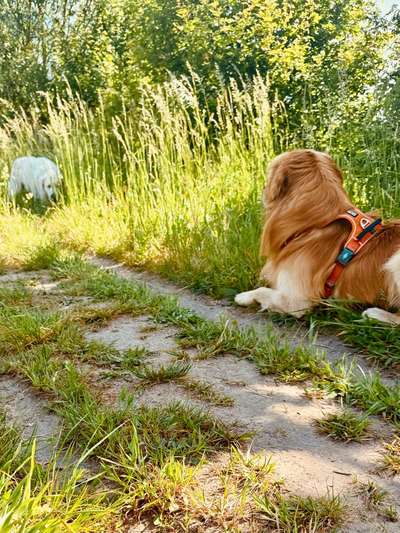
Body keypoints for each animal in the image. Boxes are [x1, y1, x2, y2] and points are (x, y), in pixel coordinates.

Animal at [236, 149, 400, 324]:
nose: (262, 188)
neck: (318, 224)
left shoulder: (296, 301)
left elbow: (261, 290)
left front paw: (243, 296)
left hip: (395, 261)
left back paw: (374, 314)